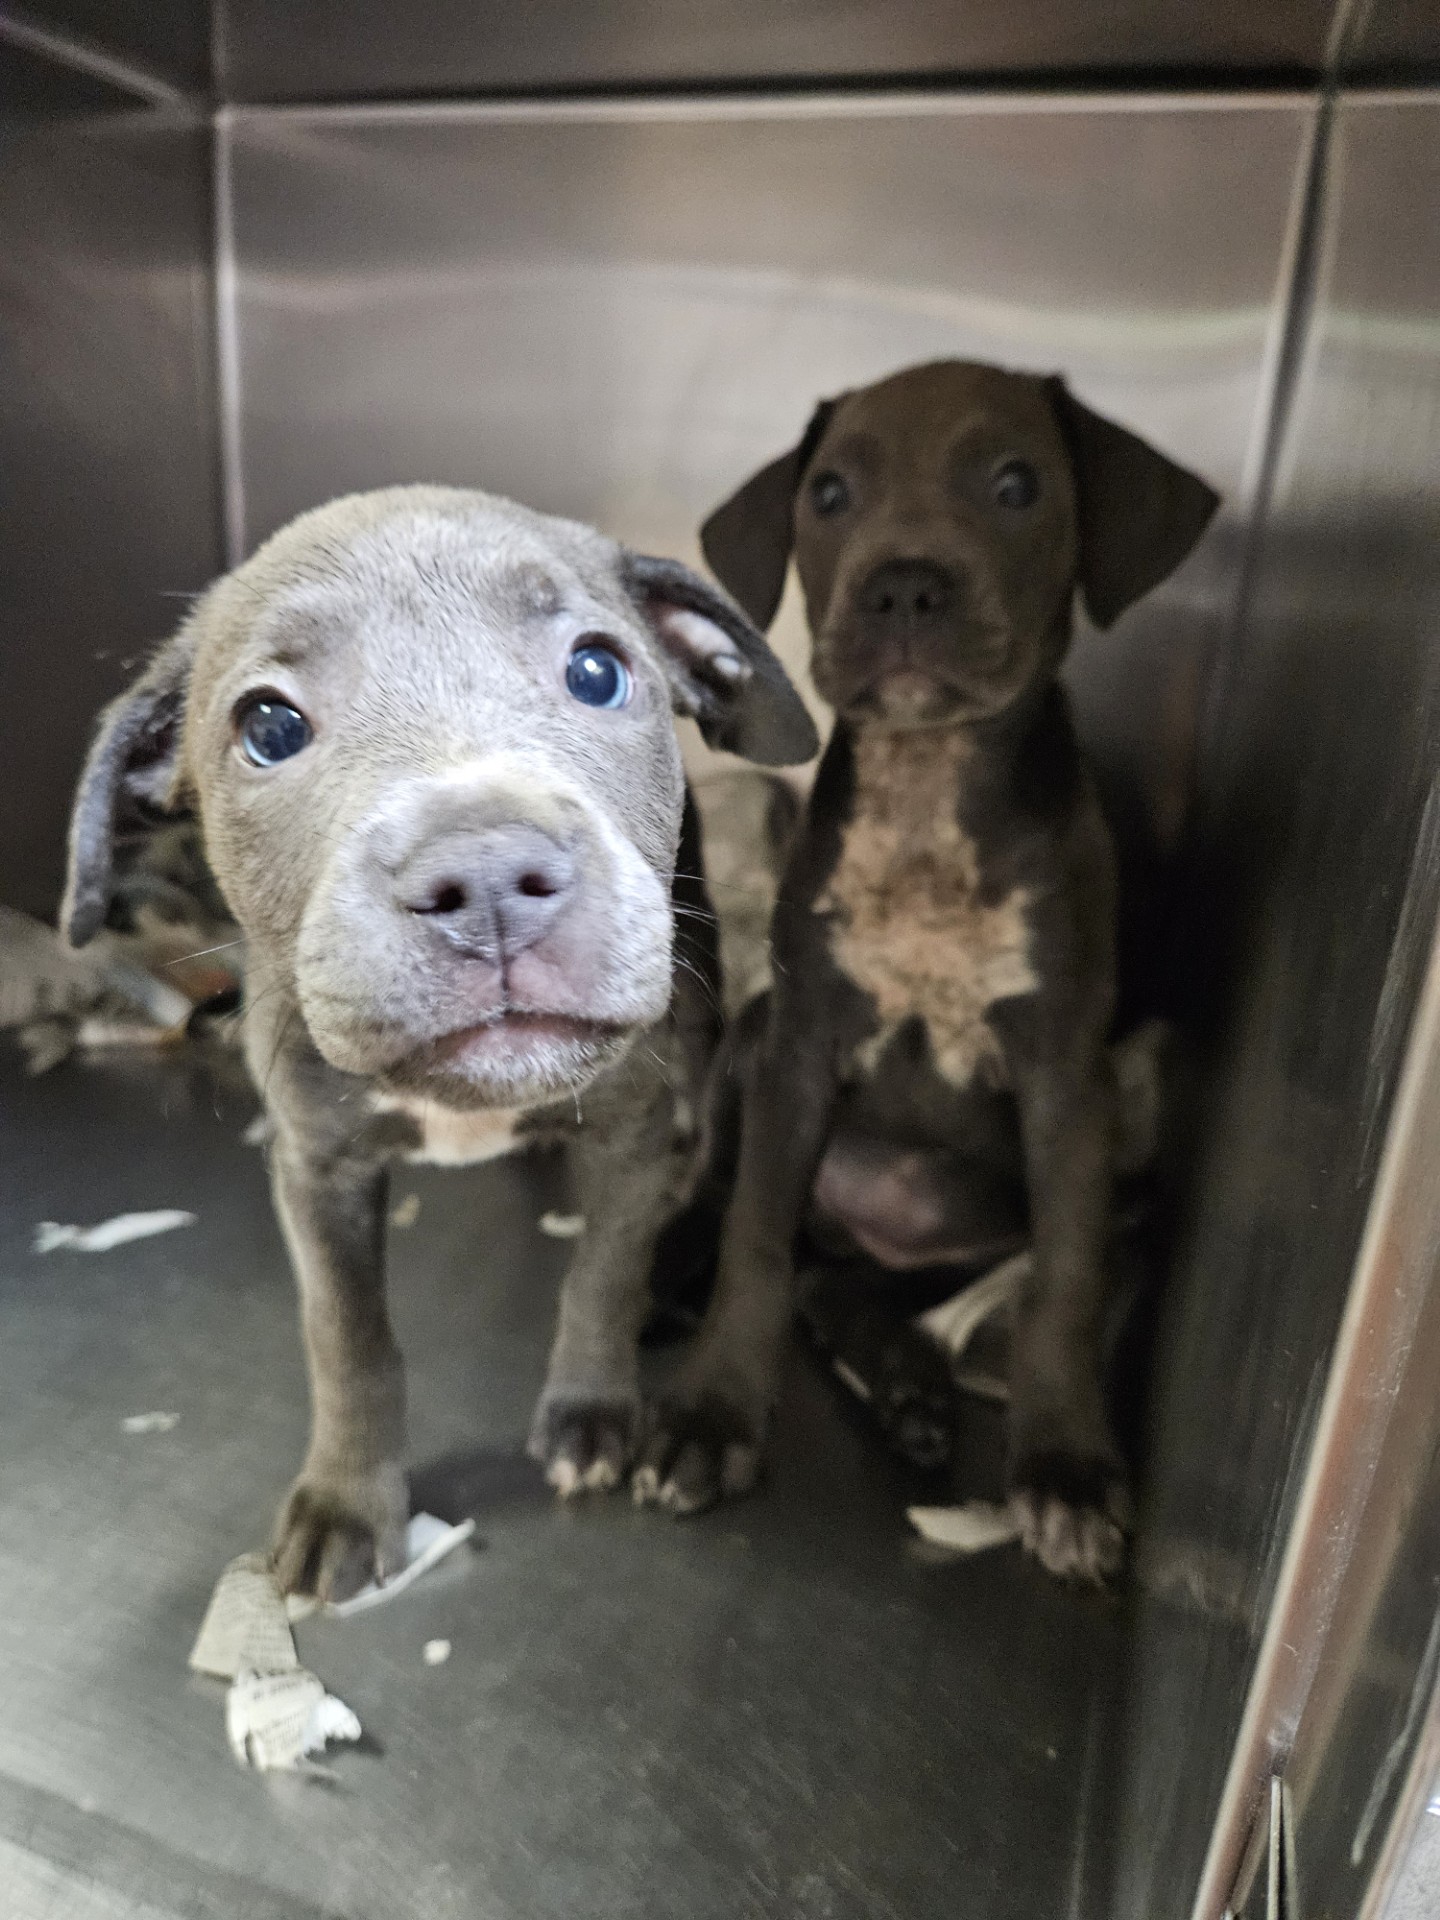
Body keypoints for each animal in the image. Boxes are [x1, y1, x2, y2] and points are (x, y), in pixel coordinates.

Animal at [64, 487, 821, 1597]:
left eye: (597, 671)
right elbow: (348, 1339)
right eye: (269, 726)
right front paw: (347, 1500)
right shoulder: (315, 1166)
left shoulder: (634, 1132)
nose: (492, 877)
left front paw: (590, 1413)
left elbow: (604, 1272)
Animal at [633, 357, 1221, 1574]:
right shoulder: (800, 1047)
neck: (924, 792)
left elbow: (1067, 1279)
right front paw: (711, 1416)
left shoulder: (1067, 1082)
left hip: (1119, 1106)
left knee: (851, 1281)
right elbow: (754, 1239)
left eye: (1016, 485)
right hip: (753, 1041)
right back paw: (684, 1280)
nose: (903, 587)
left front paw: (1065, 1467)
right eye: (830, 495)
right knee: (745, 1212)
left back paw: (907, 1377)